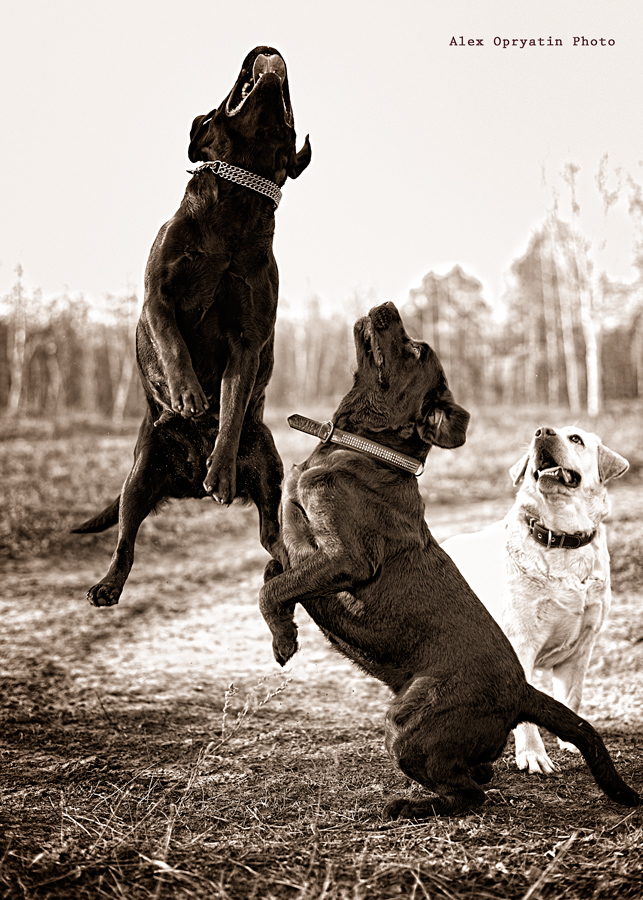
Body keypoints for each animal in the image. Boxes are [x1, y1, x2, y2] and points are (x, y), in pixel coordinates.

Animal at [75, 51, 312, 612]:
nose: (266, 50)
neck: (236, 204)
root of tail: (182, 483)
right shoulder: (158, 298)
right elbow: (174, 345)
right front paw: (187, 394)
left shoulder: (249, 337)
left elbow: (230, 402)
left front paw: (219, 463)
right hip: (140, 474)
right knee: (125, 539)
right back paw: (107, 585)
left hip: (267, 467)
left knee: (272, 536)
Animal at [442, 426, 628, 776]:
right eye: (541, 432)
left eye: (576, 439)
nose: (542, 432)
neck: (562, 540)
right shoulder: (521, 644)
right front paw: (532, 754)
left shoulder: (581, 649)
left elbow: (572, 698)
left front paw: (572, 740)